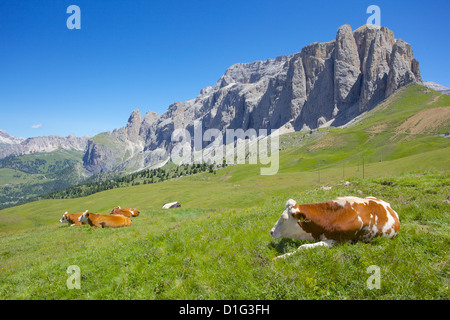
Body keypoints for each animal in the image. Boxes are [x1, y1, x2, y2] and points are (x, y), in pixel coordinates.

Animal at [270, 195, 400, 260]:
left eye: (284, 218)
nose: (271, 231)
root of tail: (388, 205)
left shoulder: (339, 241)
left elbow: (302, 247)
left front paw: (280, 257)